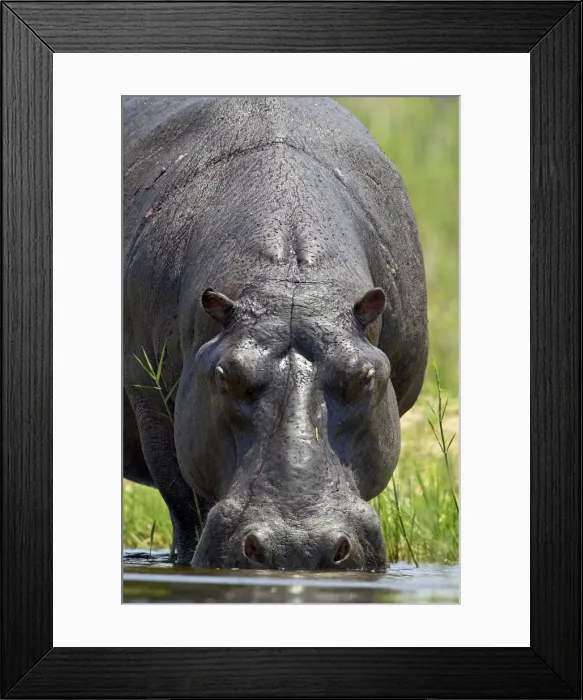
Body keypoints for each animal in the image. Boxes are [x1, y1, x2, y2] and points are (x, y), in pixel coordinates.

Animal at [123, 97, 428, 570]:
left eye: (365, 376)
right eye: (226, 374)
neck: (288, 279)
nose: (297, 547)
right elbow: (186, 508)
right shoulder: (152, 405)